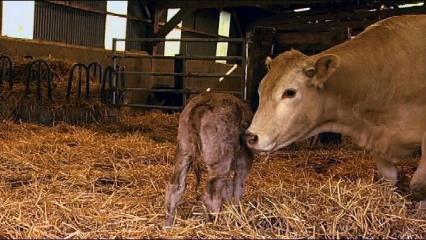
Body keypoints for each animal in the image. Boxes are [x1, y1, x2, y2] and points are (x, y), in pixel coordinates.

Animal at [165, 93, 255, 228]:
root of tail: (204, 102)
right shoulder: (243, 163)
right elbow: (238, 188)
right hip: (220, 162)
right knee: (210, 196)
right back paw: (217, 225)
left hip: (183, 152)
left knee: (175, 187)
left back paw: (168, 225)